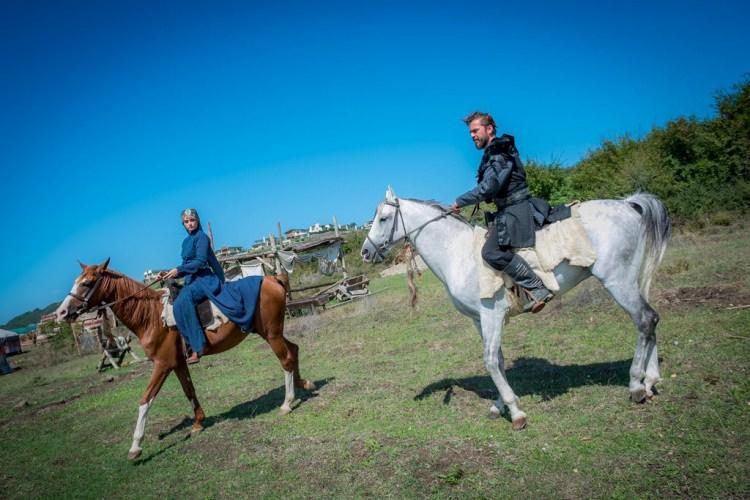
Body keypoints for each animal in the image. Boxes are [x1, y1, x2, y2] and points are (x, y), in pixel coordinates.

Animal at [54, 260, 316, 458]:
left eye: (87, 283)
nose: (61, 313)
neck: (150, 316)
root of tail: (272, 279)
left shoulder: (162, 365)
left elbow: (145, 400)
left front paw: (135, 446)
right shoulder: (178, 363)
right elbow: (189, 390)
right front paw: (198, 423)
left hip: (271, 334)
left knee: (286, 359)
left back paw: (286, 403)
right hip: (270, 333)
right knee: (293, 350)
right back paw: (304, 384)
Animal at [362, 188, 672, 430]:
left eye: (384, 218)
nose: (366, 252)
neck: (456, 252)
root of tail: (628, 204)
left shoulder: (491, 315)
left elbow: (489, 360)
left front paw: (516, 413)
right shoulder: (480, 320)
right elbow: (497, 360)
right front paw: (501, 405)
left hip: (617, 281)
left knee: (645, 320)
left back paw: (636, 386)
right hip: (633, 282)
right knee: (651, 321)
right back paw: (650, 382)